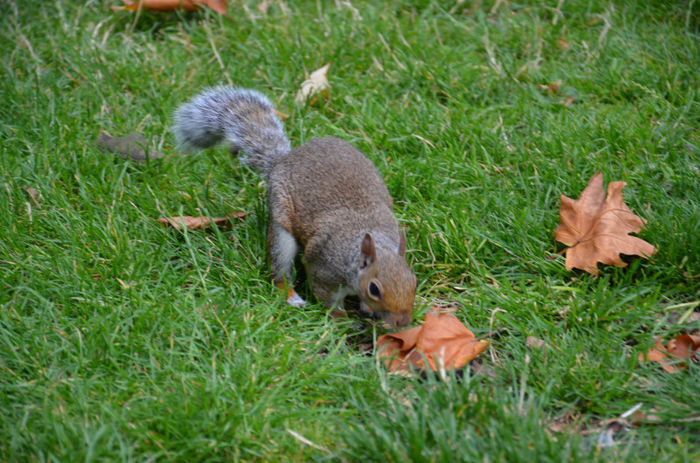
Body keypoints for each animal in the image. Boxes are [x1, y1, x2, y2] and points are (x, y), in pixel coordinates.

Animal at [174, 86, 416, 326]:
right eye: (374, 289)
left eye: (413, 280)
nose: (403, 323)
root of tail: (283, 159)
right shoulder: (323, 270)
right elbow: (327, 299)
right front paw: (342, 320)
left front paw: (367, 310)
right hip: (281, 229)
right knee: (279, 270)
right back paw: (291, 296)